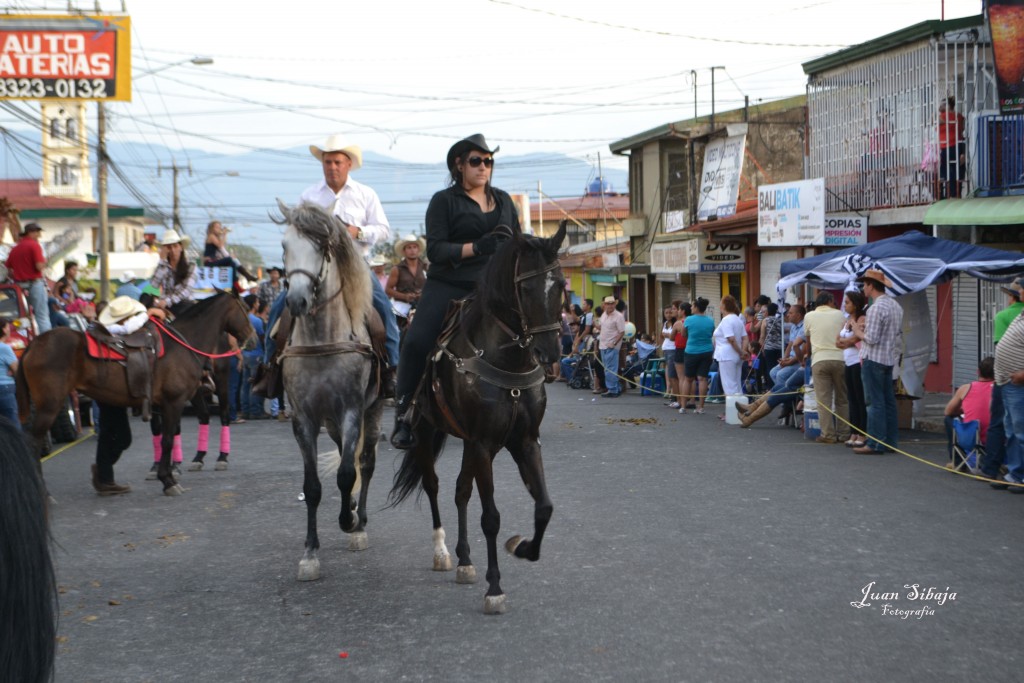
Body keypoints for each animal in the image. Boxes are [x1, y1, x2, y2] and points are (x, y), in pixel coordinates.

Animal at [18, 294, 253, 497]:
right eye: (244, 308)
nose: (252, 337)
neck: (184, 343)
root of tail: (33, 344)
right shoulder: (173, 402)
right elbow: (167, 439)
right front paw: (168, 480)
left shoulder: (163, 403)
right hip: (49, 406)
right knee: (33, 444)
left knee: (217, 415)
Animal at [272, 200, 385, 581]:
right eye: (284, 245)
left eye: (322, 247)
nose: (297, 301)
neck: (322, 340)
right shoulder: (303, 419)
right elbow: (313, 487)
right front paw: (310, 553)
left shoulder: (351, 410)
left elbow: (348, 472)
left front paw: (349, 522)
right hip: (331, 421)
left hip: (373, 410)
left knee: (365, 462)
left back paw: (359, 521)